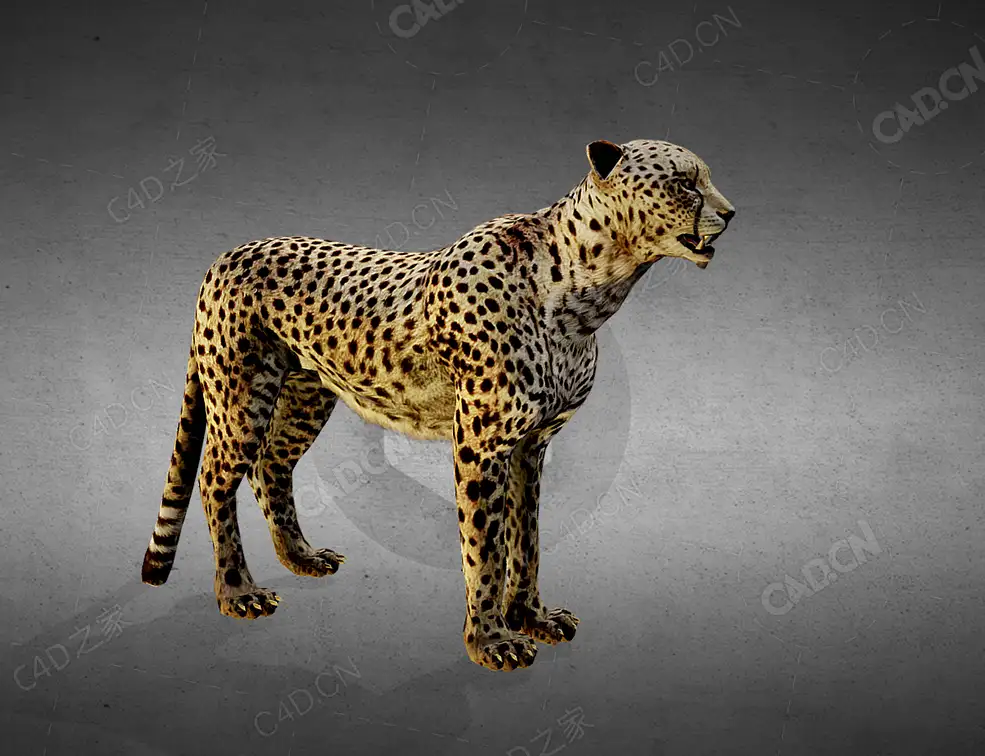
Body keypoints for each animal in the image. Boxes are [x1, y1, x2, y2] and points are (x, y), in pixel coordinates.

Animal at [140, 138, 736, 672]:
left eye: (705, 178)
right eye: (685, 182)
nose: (731, 214)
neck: (586, 290)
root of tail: (228, 253)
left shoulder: (529, 446)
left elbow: (527, 539)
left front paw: (532, 617)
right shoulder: (479, 446)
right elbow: (485, 548)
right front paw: (491, 641)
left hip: (307, 394)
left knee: (270, 465)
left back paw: (301, 557)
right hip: (241, 397)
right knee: (215, 478)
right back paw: (238, 591)